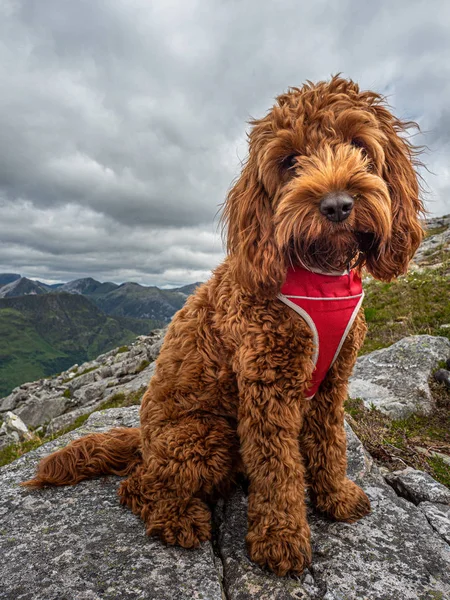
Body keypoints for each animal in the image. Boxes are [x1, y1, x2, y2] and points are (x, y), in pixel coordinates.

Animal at [23, 76, 426, 576]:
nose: (337, 205)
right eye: (290, 161)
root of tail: (143, 439)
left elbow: (330, 442)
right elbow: (277, 469)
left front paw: (334, 496)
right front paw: (281, 539)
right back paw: (178, 520)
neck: (318, 274)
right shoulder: (267, 387)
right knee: (139, 485)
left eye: (358, 144)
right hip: (205, 438)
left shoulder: (332, 382)